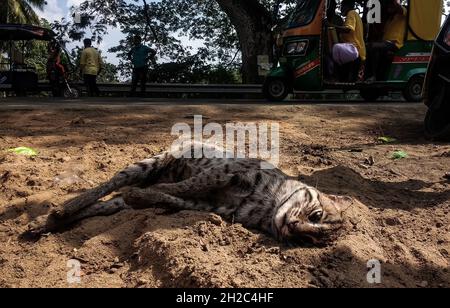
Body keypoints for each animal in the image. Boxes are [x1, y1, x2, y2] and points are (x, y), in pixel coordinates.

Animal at [28, 143, 354, 245]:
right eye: (316, 215)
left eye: (308, 241)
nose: (292, 228)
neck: (267, 206)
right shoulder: (225, 171)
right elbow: (182, 186)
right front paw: (149, 192)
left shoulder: (207, 204)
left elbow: (171, 196)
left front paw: (146, 197)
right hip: (147, 164)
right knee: (108, 184)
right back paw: (63, 209)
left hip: (119, 201)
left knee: (107, 205)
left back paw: (47, 222)